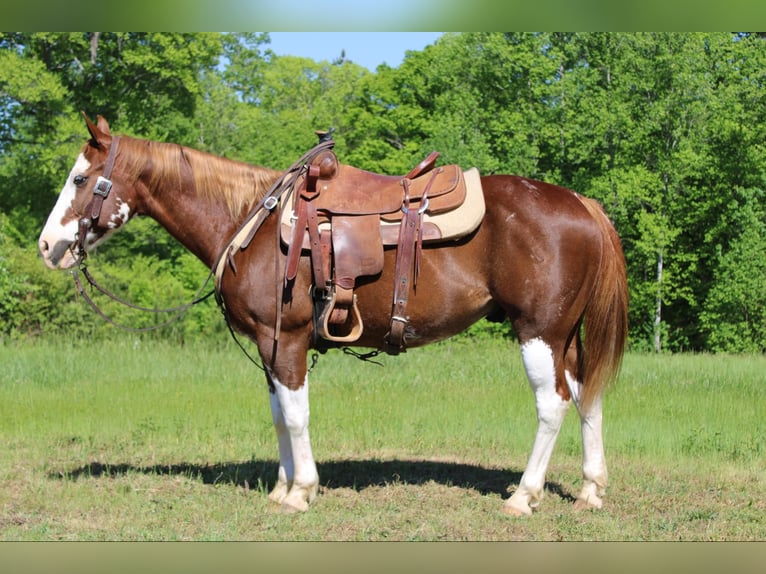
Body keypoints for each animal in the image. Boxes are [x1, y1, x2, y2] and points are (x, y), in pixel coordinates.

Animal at [37, 116, 632, 516]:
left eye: (79, 179)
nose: (47, 246)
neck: (250, 220)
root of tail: (581, 204)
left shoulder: (289, 342)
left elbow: (297, 415)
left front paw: (301, 492)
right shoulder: (269, 345)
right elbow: (280, 414)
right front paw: (282, 487)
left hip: (538, 332)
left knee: (553, 404)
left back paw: (524, 496)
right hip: (565, 338)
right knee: (587, 396)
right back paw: (590, 489)